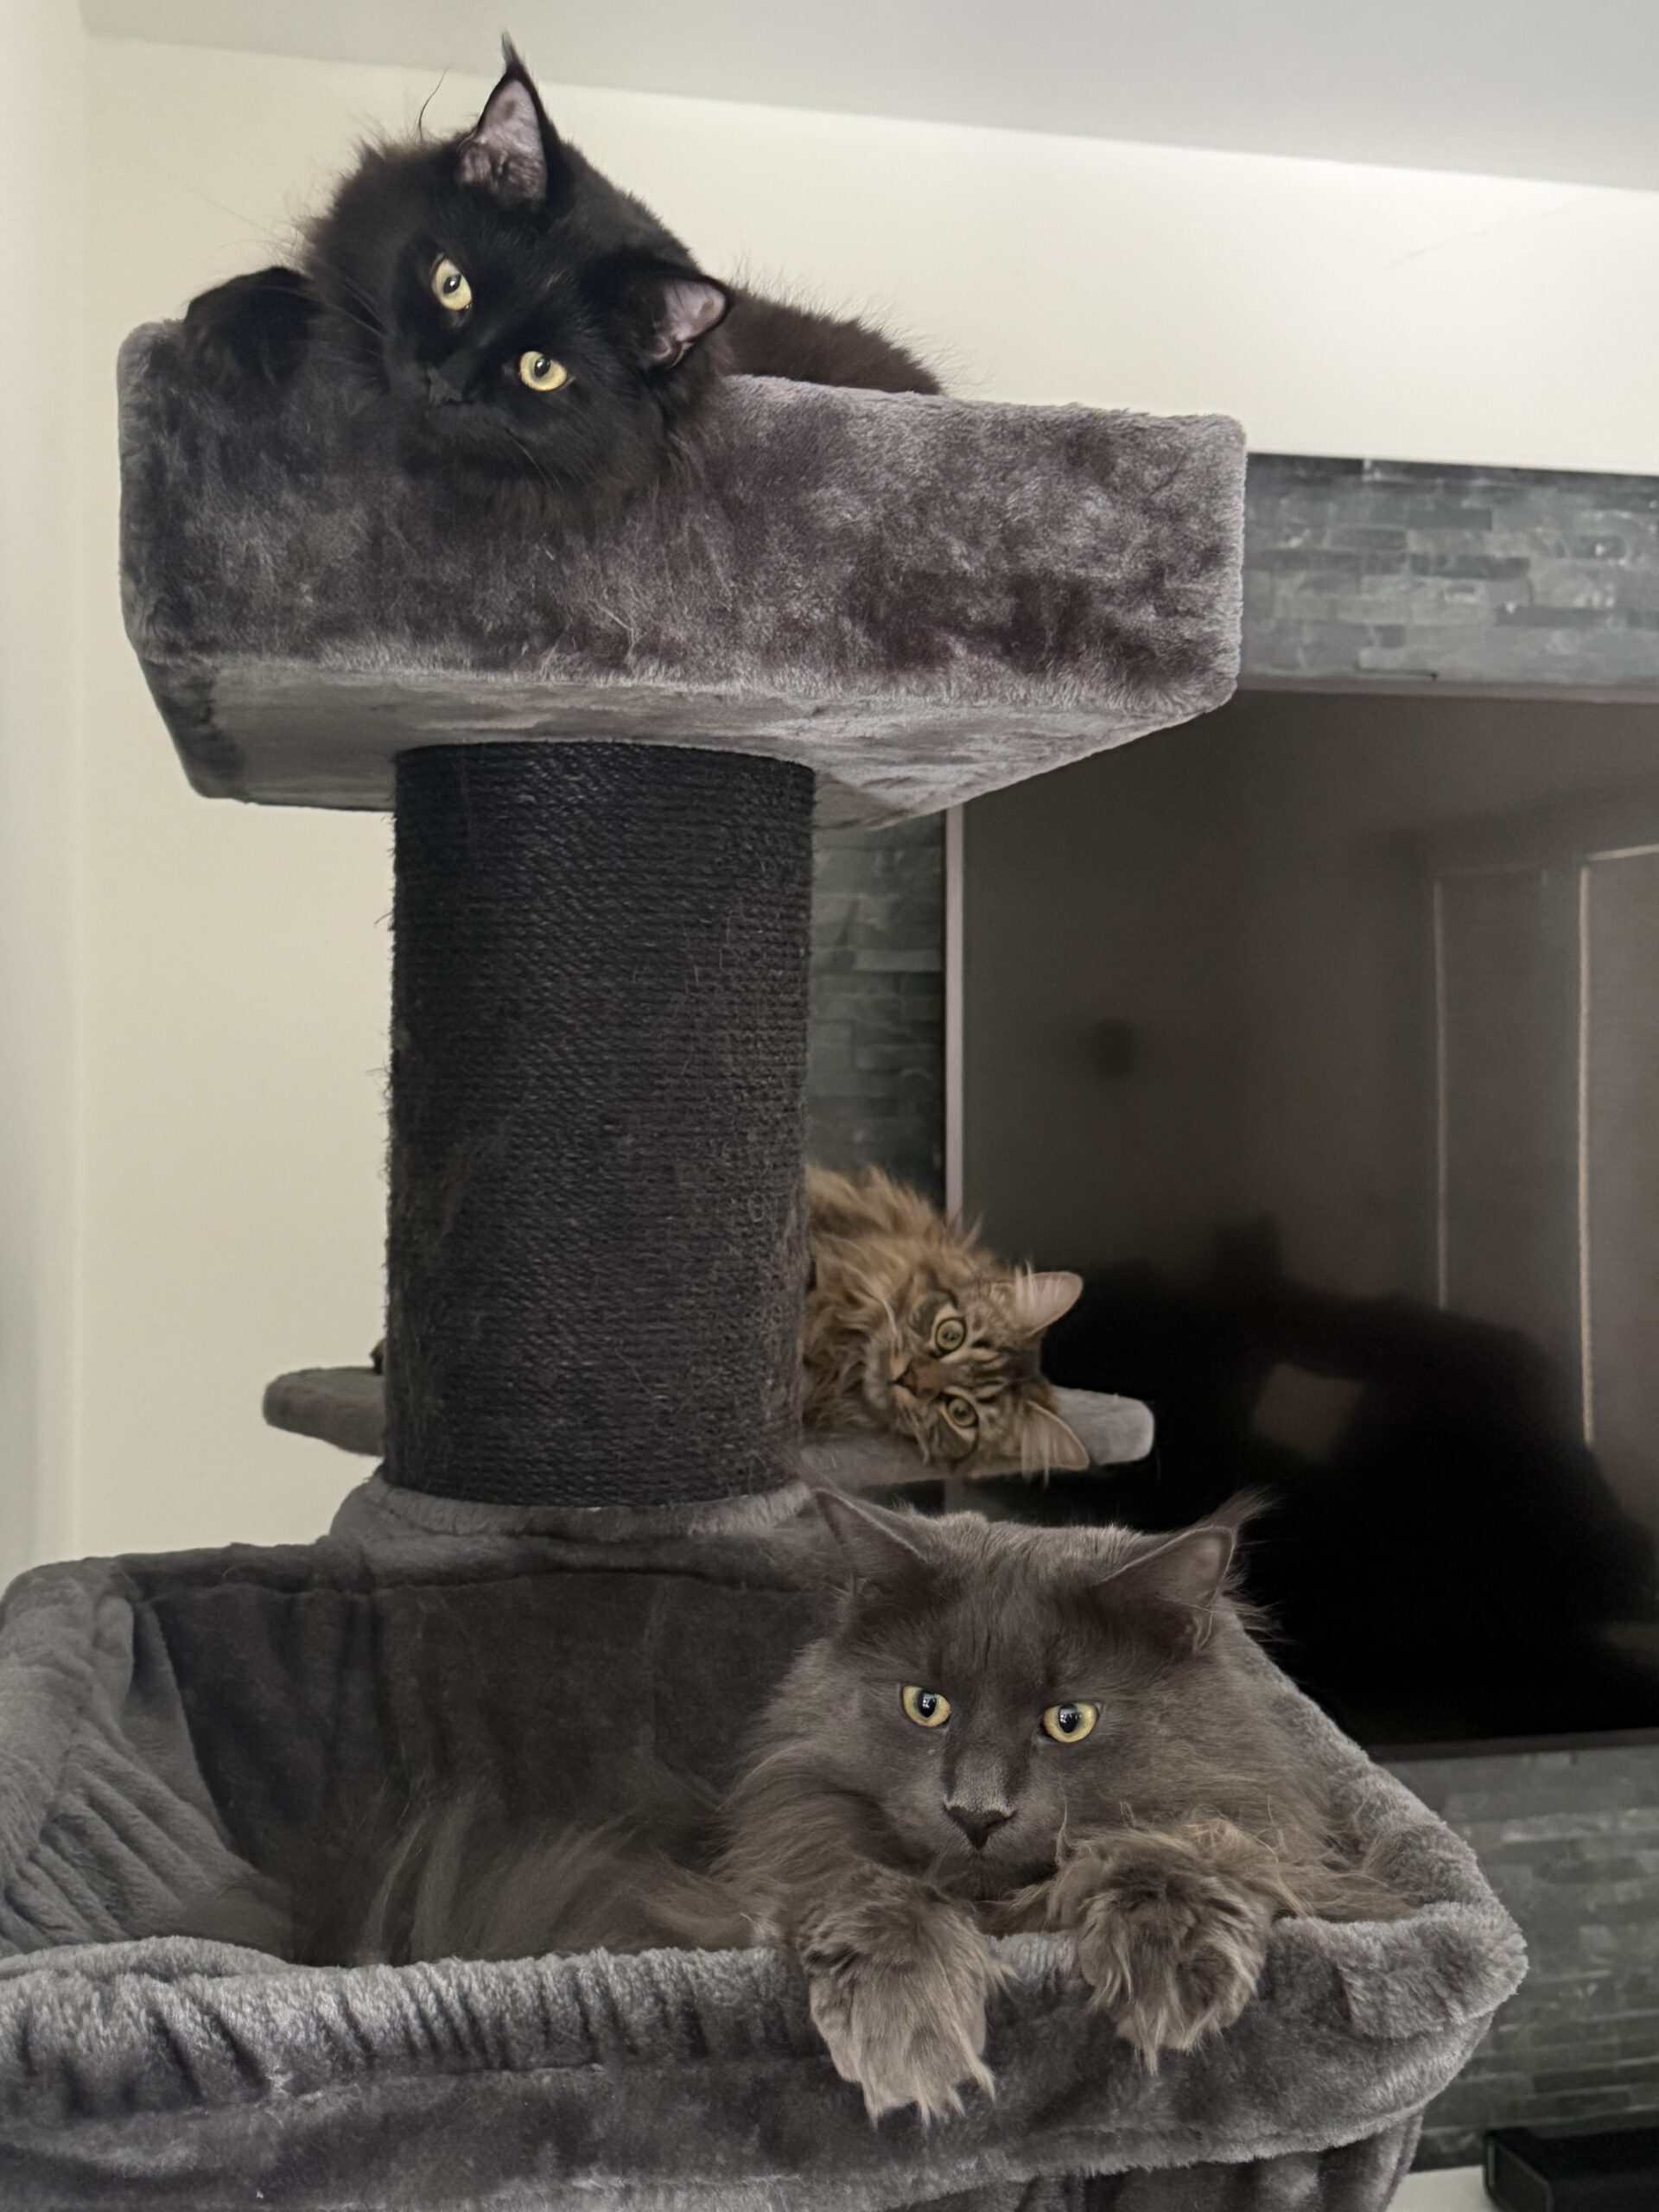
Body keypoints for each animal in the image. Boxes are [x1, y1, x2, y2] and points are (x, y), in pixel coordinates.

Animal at [194, 1496, 1406, 2120]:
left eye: (1070, 1721)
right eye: (926, 1704)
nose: (974, 1809)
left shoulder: (1289, 1852)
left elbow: (1190, 1848)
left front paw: (1169, 1955)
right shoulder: (783, 1855)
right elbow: (873, 1896)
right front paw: (909, 2028)